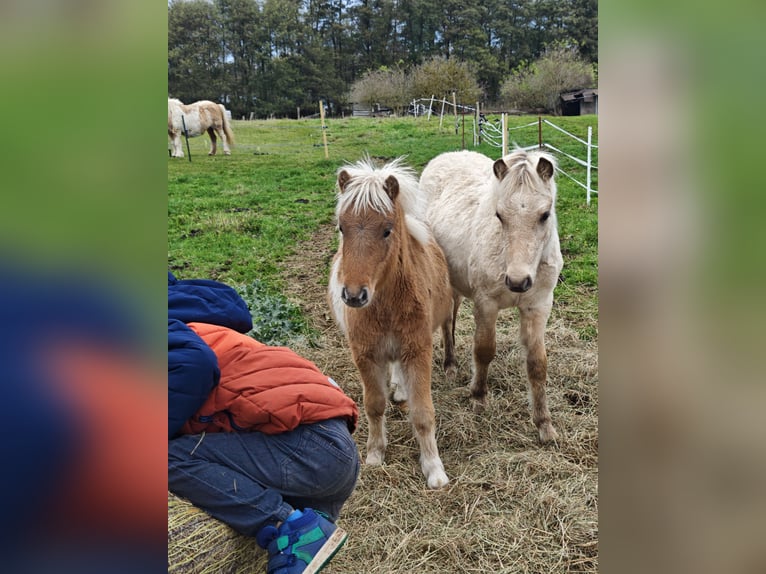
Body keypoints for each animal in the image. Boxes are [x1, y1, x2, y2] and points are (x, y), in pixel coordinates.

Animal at [327, 156, 455, 489]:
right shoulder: (366, 356)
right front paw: (375, 455)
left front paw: (434, 470)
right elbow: (374, 405)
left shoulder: (418, 351)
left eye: (387, 230)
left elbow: (422, 413)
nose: (354, 295)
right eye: (341, 227)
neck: (385, 306)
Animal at [419, 148, 563, 443]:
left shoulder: (538, 306)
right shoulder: (486, 304)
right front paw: (478, 397)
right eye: (499, 215)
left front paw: (544, 424)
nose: (518, 282)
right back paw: (450, 365)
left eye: (545, 214)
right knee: (447, 321)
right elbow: (484, 350)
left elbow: (537, 364)